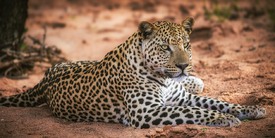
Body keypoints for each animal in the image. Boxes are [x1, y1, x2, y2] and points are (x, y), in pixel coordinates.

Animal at [0, 17, 268, 128]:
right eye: (166, 47)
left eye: (186, 45)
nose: (183, 66)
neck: (165, 79)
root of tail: (45, 77)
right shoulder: (147, 112)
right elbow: (195, 111)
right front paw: (224, 119)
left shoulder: (180, 98)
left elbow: (219, 102)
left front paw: (252, 109)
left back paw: (194, 80)